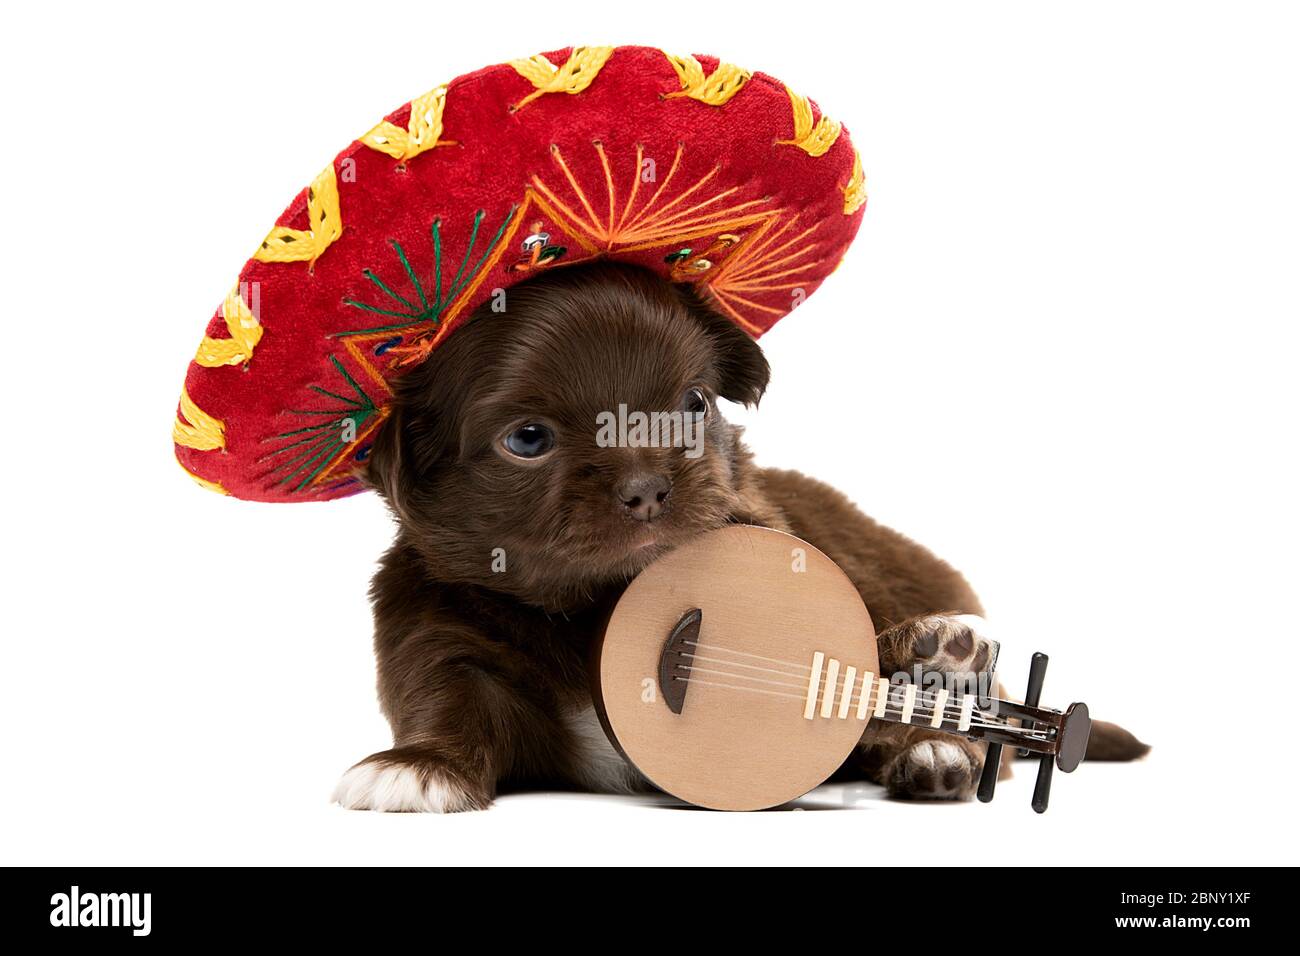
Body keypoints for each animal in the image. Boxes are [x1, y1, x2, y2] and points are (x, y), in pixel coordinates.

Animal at [330, 257, 1144, 811]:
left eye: (694, 405)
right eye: (527, 439)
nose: (648, 487)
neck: (590, 609)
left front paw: (917, 671)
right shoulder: (437, 632)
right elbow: (450, 699)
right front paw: (420, 763)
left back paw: (939, 716)